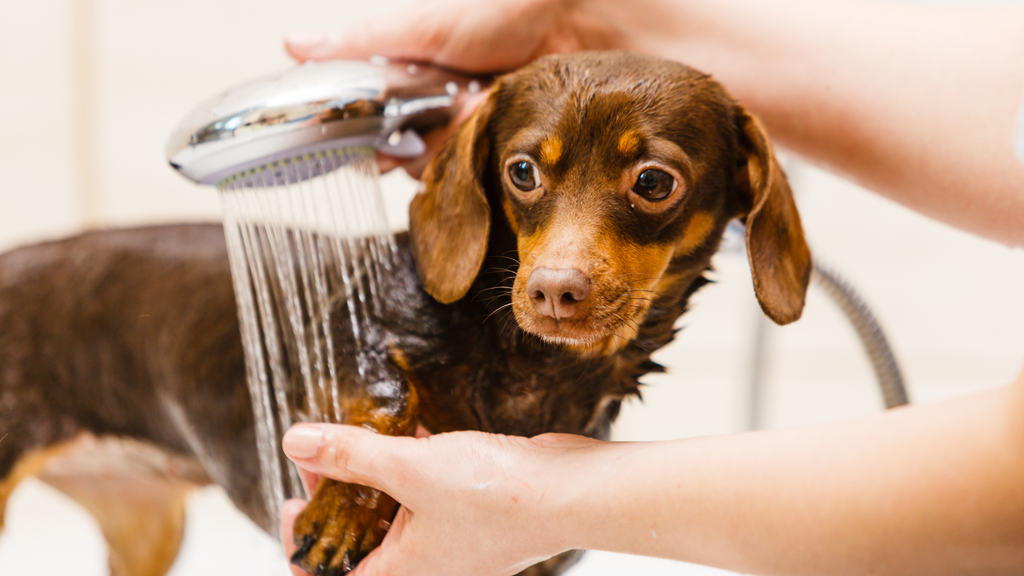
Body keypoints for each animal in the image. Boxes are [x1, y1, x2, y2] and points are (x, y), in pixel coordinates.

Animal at [0, 50, 806, 573]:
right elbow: (387, 397)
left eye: (654, 182)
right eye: (521, 171)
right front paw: (346, 510)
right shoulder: (342, 335)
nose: (553, 292)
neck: (523, 364)